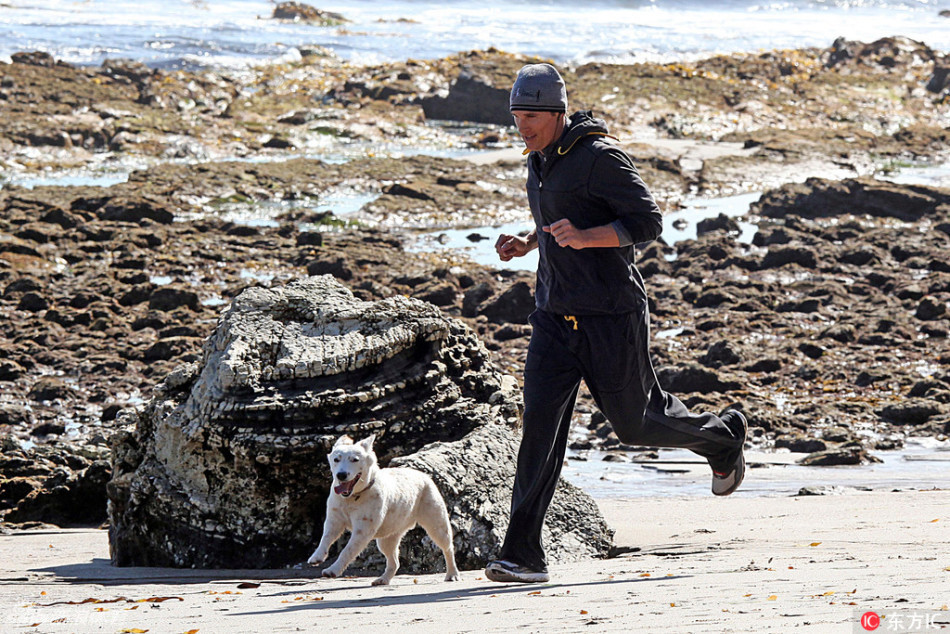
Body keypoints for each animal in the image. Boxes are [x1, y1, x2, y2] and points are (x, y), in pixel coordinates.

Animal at [308, 434, 462, 584]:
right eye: (336, 459)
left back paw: (452, 574)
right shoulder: (334, 520)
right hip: (387, 538)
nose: (341, 474)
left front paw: (332, 570)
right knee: (394, 562)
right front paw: (317, 556)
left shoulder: (362, 530)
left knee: (448, 548)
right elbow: (326, 538)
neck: (353, 497)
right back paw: (383, 579)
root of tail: (423, 475)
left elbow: (347, 551)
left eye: (355, 459)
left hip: (436, 525)